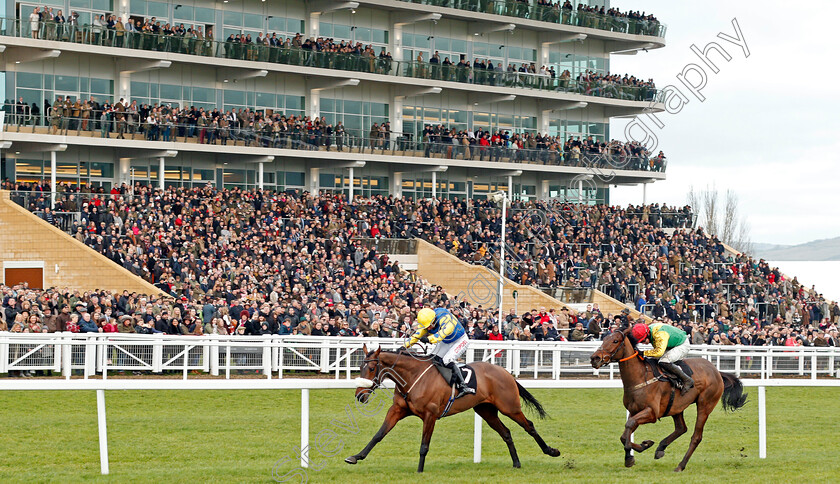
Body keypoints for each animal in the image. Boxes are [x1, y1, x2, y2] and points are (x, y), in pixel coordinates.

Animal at [344, 344, 560, 472]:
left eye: (372, 368)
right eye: (360, 367)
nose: (359, 396)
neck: (413, 377)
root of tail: (505, 372)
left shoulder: (430, 415)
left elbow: (424, 445)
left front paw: (420, 471)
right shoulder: (397, 410)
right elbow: (378, 435)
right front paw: (356, 456)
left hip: (510, 407)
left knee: (529, 426)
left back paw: (551, 451)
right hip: (486, 410)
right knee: (506, 432)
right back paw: (516, 463)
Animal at [592, 328, 748, 472]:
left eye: (615, 341)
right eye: (604, 339)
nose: (595, 358)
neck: (641, 376)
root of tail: (717, 371)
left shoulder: (652, 413)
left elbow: (629, 425)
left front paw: (631, 456)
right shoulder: (634, 411)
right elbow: (624, 435)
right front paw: (642, 447)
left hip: (705, 405)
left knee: (696, 436)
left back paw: (680, 465)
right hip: (676, 407)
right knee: (681, 428)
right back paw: (661, 448)